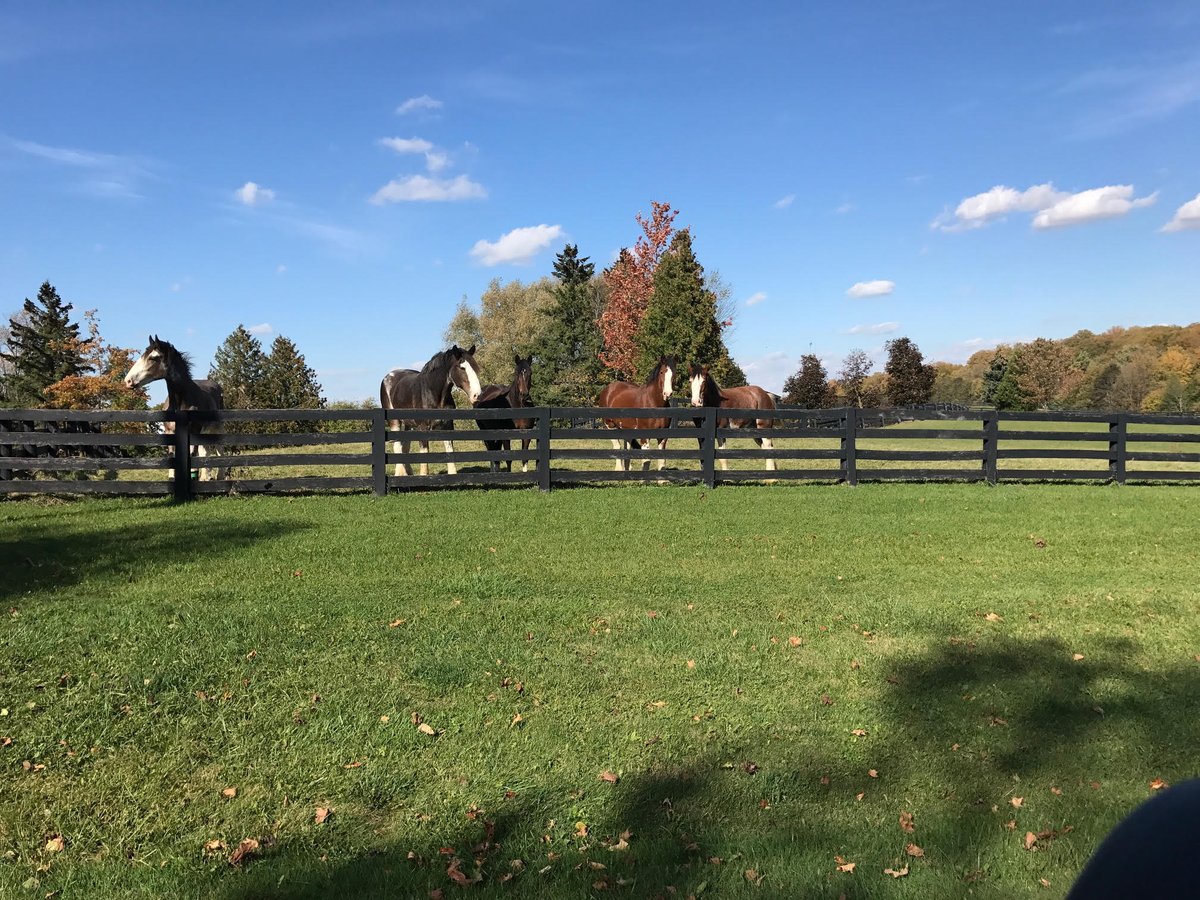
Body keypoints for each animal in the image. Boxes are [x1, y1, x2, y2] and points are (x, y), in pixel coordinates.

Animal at [124, 335, 226, 480]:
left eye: (154, 357)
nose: (128, 381)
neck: (179, 404)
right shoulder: (170, 432)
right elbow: (173, 460)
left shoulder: (193, 432)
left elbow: (192, 460)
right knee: (205, 453)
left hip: (217, 428)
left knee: (219, 450)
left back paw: (219, 477)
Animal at [380, 345, 481, 476]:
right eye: (462, 367)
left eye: (475, 367)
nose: (477, 395)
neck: (432, 392)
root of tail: (388, 376)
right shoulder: (423, 427)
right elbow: (424, 454)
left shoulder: (447, 426)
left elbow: (450, 451)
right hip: (394, 421)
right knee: (397, 446)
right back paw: (399, 474)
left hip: (409, 424)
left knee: (405, 447)